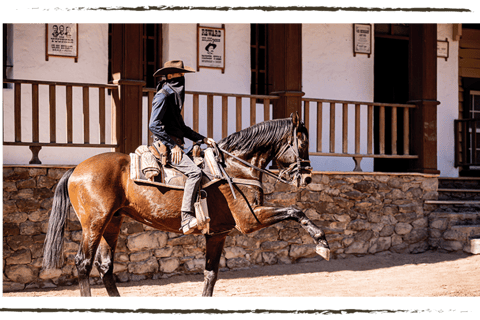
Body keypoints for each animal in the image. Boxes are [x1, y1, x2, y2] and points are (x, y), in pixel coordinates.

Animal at [43, 113, 330, 298]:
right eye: (302, 142)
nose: (307, 177)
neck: (234, 166)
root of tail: (77, 169)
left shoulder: (218, 233)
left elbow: (210, 275)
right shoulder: (250, 220)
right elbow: (295, 210)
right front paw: (322, 242)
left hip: (112, 222)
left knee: (105, 267)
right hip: (94, 223)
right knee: (83, 263)